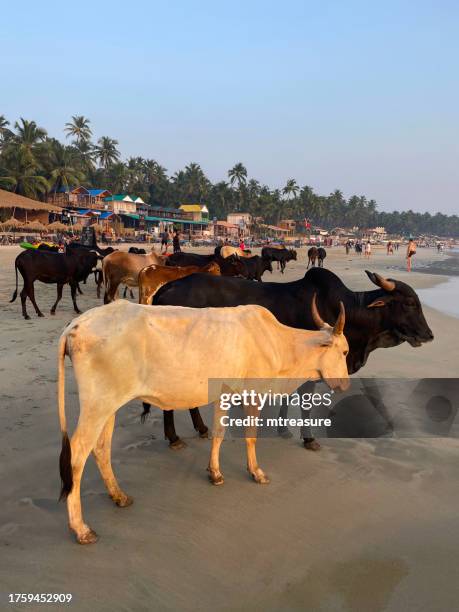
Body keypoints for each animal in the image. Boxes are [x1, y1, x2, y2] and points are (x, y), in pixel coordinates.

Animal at [57, 298, 348, 544]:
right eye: (345, 352)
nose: (345, 384)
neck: (279, 343)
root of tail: (75, 325)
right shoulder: (253, 393)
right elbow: (251, 437)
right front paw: (256, 472)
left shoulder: (224, 393)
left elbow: (219, 432)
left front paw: (215, 473)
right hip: (98, 404)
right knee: (77, 455)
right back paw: (81, 528)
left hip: (109, 406)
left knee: (101, 448)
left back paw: (119, 496)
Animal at [147, 268, 434, 450]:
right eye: (409, 303)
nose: (429, 335)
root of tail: (165, 289)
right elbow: (305, 403)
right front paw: (308, 439)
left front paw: (283, 429)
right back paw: (174, 438)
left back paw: (201, 428)